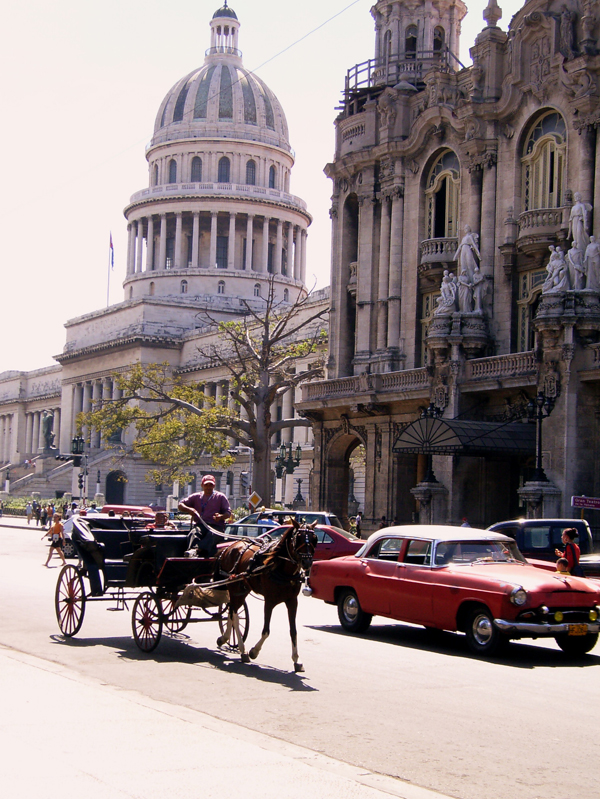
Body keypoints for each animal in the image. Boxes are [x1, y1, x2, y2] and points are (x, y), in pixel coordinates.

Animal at [216, 520, 318, 672]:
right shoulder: (269, 601)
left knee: (232, 610)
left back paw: (225, 638)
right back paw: (243, 650)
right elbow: (266, 631)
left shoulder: (292, 601)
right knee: (234, 614)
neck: (280, 567)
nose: (307, 562)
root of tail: (229, 547)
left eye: (314, 539)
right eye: (298, 538)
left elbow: (293, 631)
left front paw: (297, 659)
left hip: (242, 589)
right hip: (234, 588)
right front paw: (254, 651)